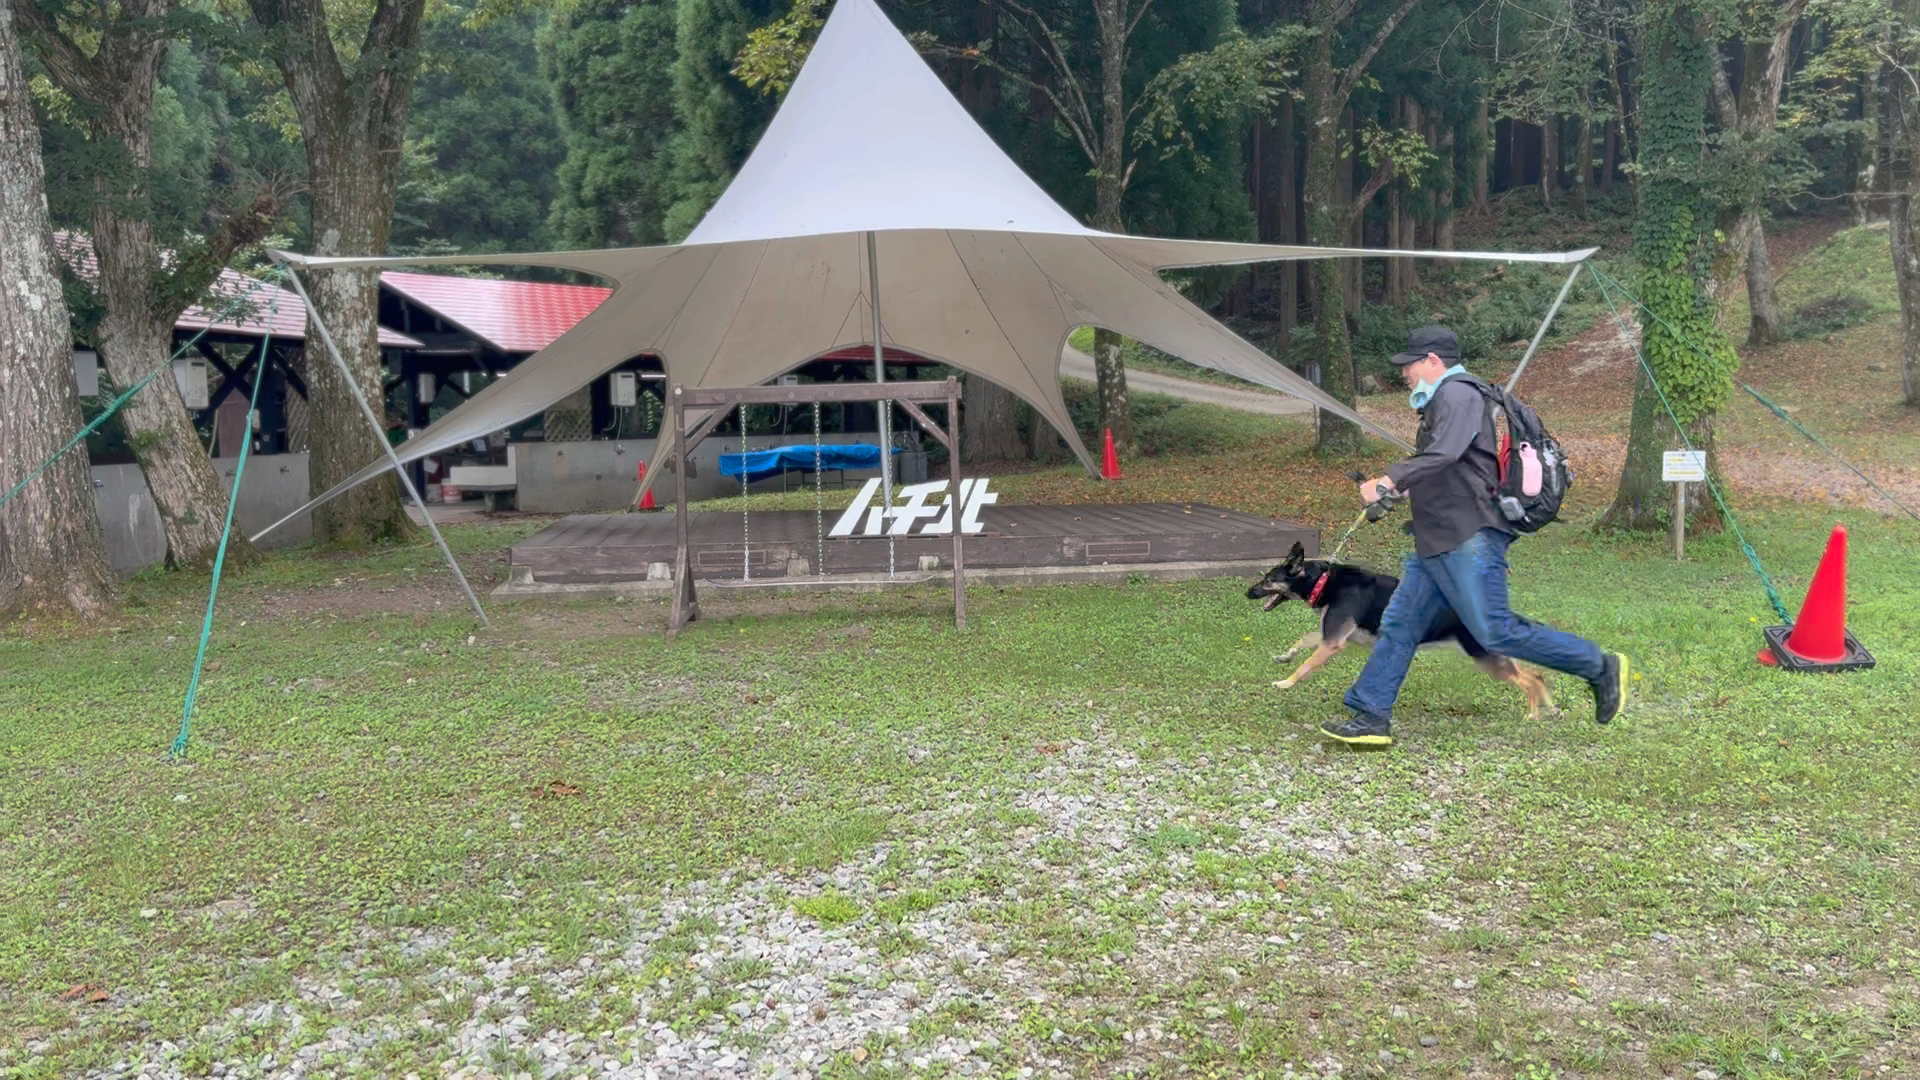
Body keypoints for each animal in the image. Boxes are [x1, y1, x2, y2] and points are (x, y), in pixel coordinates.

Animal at [1245, 542, 1556, 721]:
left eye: (1268, 579)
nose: (1247, 593)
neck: (1324, 580)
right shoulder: (1335, 636)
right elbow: (1301, 642)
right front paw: (1284, 657)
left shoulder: (1333, 642)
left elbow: (1305, 666)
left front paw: (1285, 683)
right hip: (1491, 656)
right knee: (1535, 674)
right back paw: (1549, 707)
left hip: (1486, 658)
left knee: (1529, 680)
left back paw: (1532, 715)